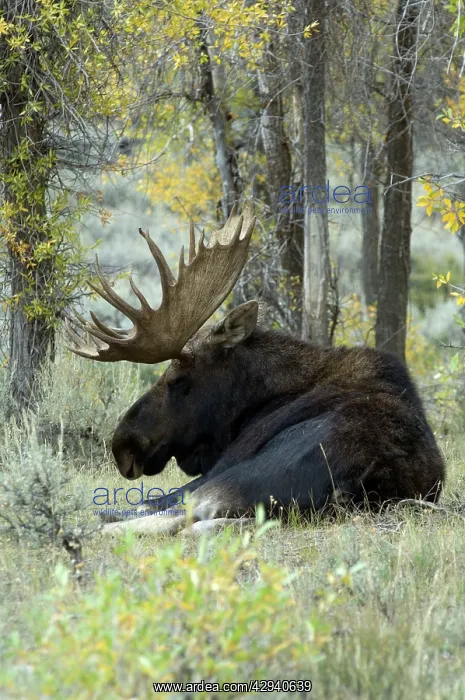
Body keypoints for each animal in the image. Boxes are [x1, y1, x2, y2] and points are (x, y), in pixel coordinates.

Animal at [68, 203, 445, 536]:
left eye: (176, 379)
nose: (123, 445)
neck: (252, 404)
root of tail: (363, 481)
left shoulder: (223, 463)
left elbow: (140, 503)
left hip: (234, 478)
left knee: (169, 518)